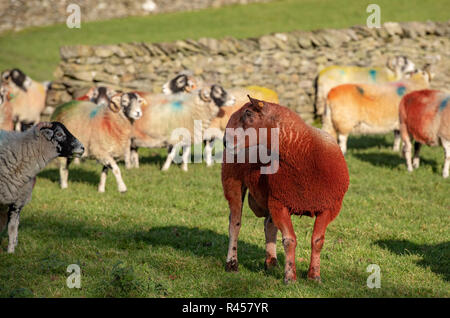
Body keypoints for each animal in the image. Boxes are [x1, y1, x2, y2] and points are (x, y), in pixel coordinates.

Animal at [223, 95, 350, 282]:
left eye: (248, 113)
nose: (225, 141)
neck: (304, 153)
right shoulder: (279, 203)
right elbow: (290, 240)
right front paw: (290, 277)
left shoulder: (328, 207)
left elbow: (317, 241)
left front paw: (314, 275)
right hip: (232, 183)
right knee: (235, 224)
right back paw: (232, 264)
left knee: (269, 225)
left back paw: (271, 262)